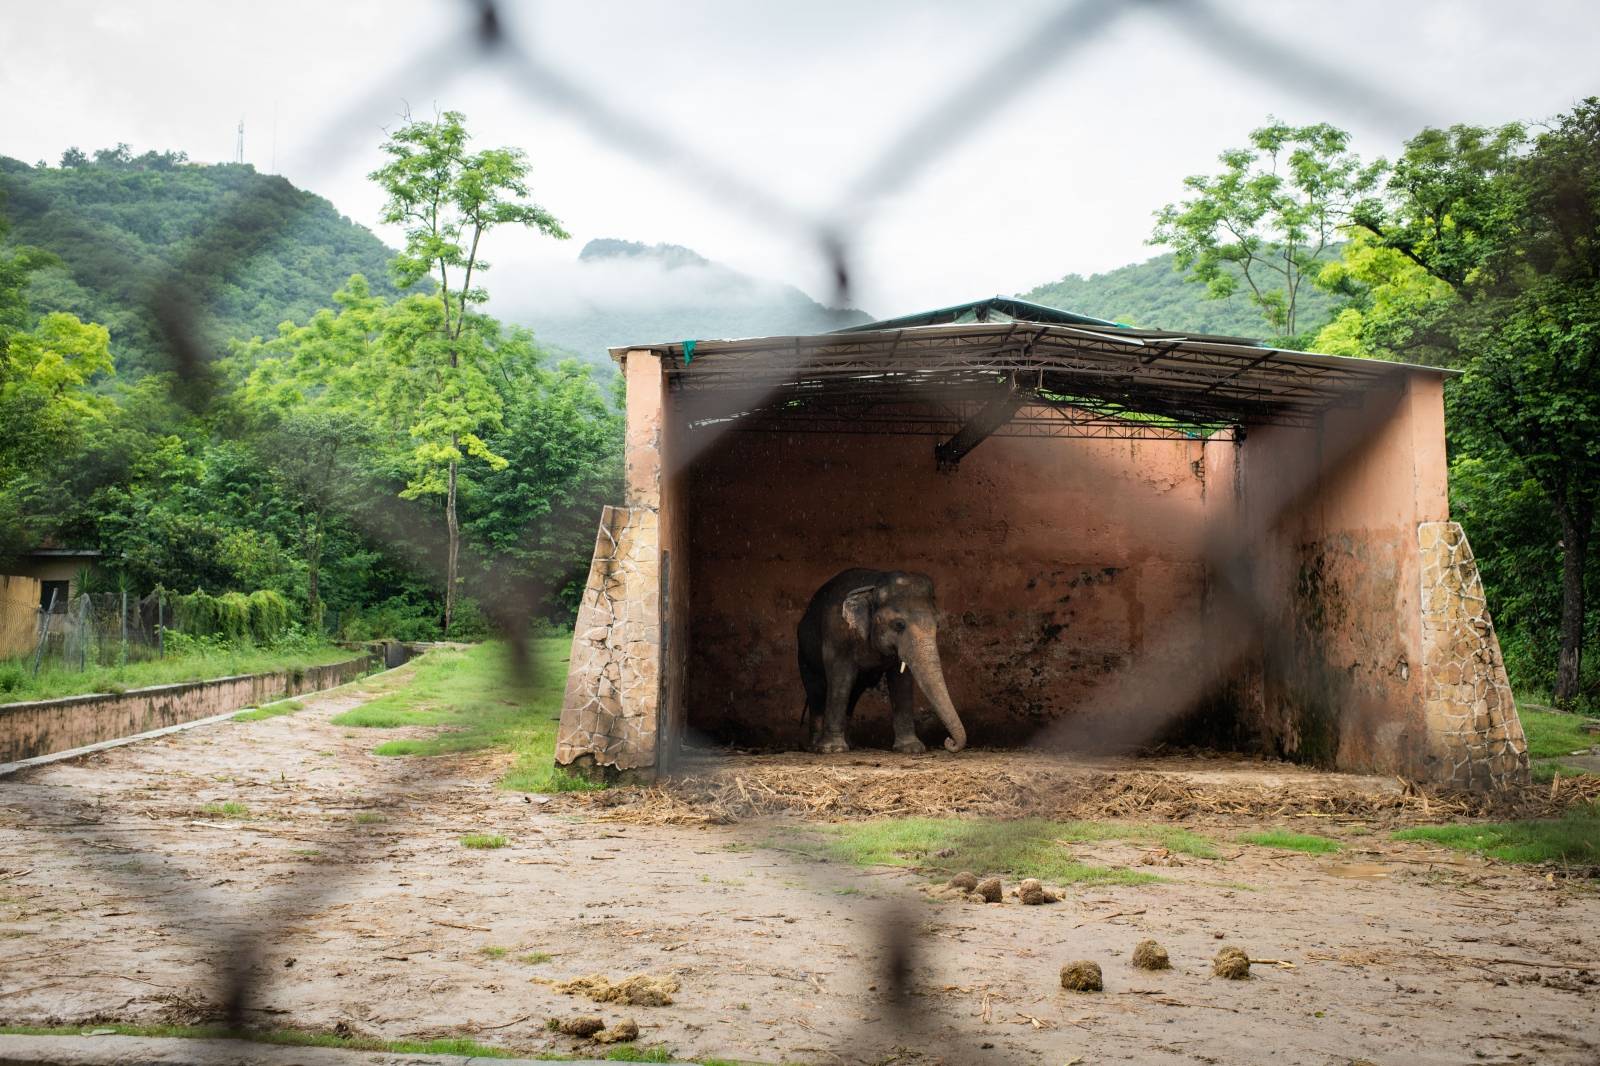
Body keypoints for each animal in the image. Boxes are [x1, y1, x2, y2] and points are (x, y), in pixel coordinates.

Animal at [796, 569, 966, 752]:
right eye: (899, 624)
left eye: (938, 624)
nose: (949, 741)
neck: (873, 586)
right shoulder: (836, 635)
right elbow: (840, 677)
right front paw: (832, 750)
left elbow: (901, 680)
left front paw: (911, 748)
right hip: (803, 652)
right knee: (816, 691)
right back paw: (815, 747)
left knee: (853, 693)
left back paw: (850, 744)